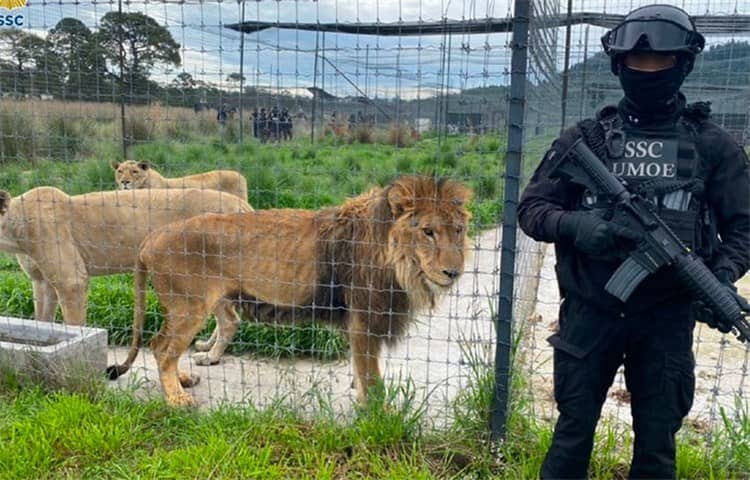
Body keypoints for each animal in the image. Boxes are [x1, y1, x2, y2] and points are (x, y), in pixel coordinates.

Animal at [108, 174, 472, 406]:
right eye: (428, 231)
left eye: (457, 230)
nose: (454, 273)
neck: (401, 264)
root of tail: (151, 237)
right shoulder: (363, 321)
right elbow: (372, 380)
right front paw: (377, 416)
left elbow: (362, 371)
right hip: (189, 307)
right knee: (161, 348)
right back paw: (177, 397)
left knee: (171, 345)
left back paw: (183, 379)